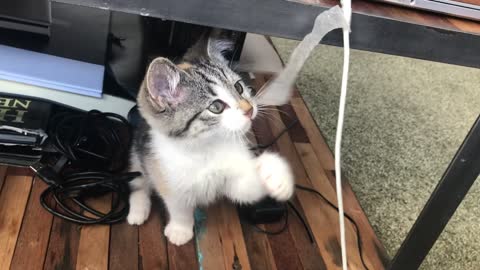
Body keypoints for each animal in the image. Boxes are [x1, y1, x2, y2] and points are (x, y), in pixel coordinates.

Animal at [126, 30, 292, 246]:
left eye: (239, 87)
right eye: (216, 107)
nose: (249, 110)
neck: (205, 148)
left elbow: (246, 189)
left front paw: (274, 173)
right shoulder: (169, 178)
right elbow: (178, 207)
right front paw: (180, 230)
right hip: (139, 156)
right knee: (139, 182)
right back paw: (138, 210)